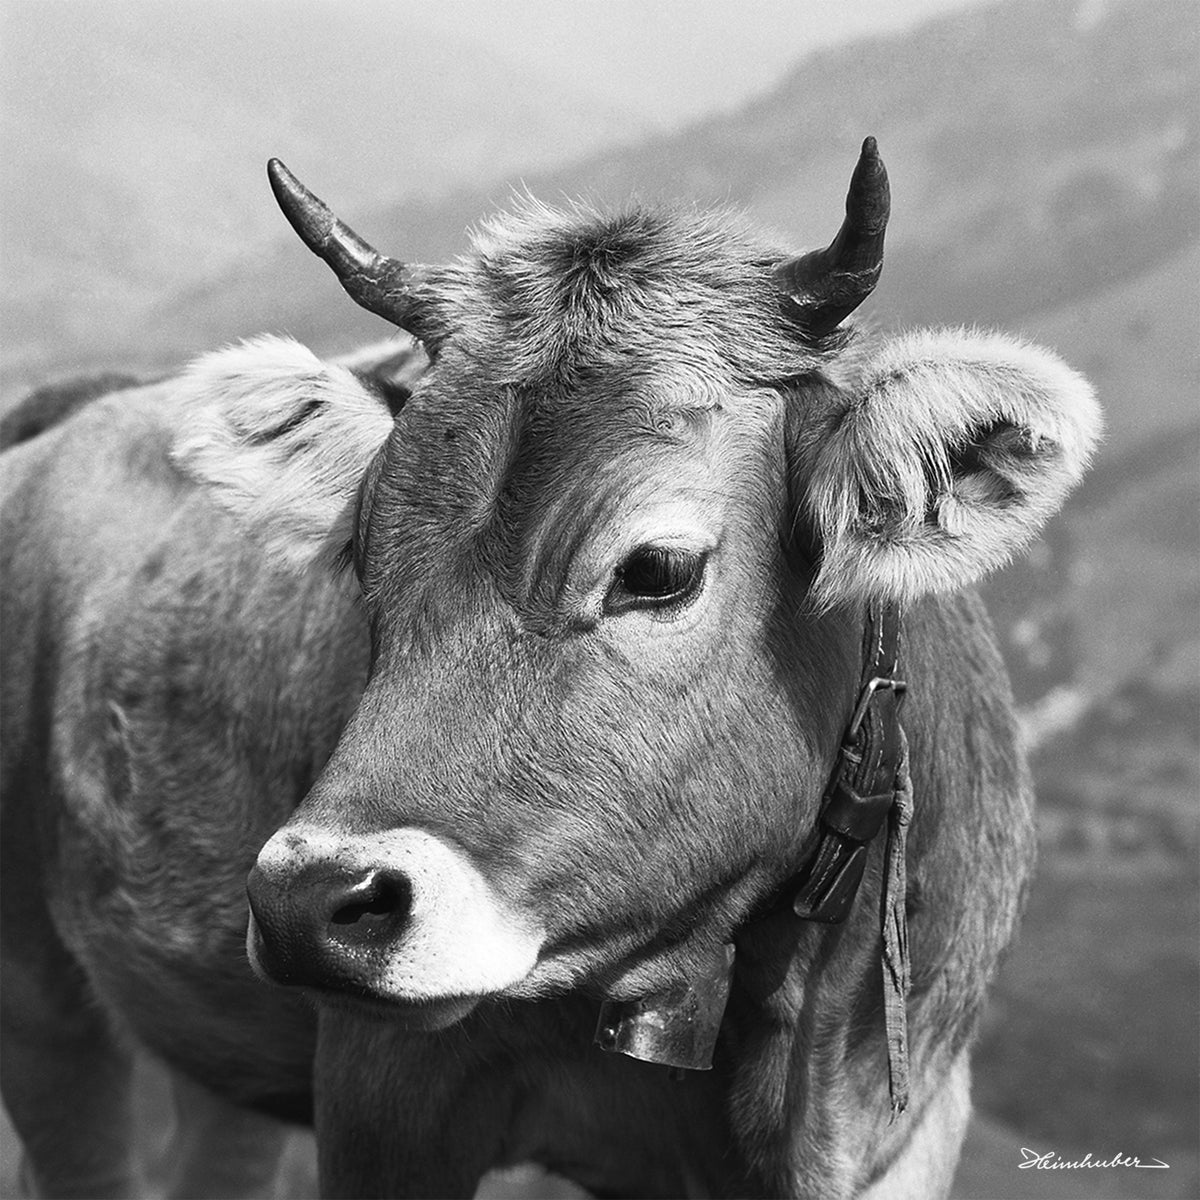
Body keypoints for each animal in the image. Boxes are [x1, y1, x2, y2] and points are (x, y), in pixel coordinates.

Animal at [0, 139, 1100, 1199]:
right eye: (363, 550)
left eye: (656, 569)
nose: (309, 902)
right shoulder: (378, 1107)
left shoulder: (915, 1129)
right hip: (41, 993)